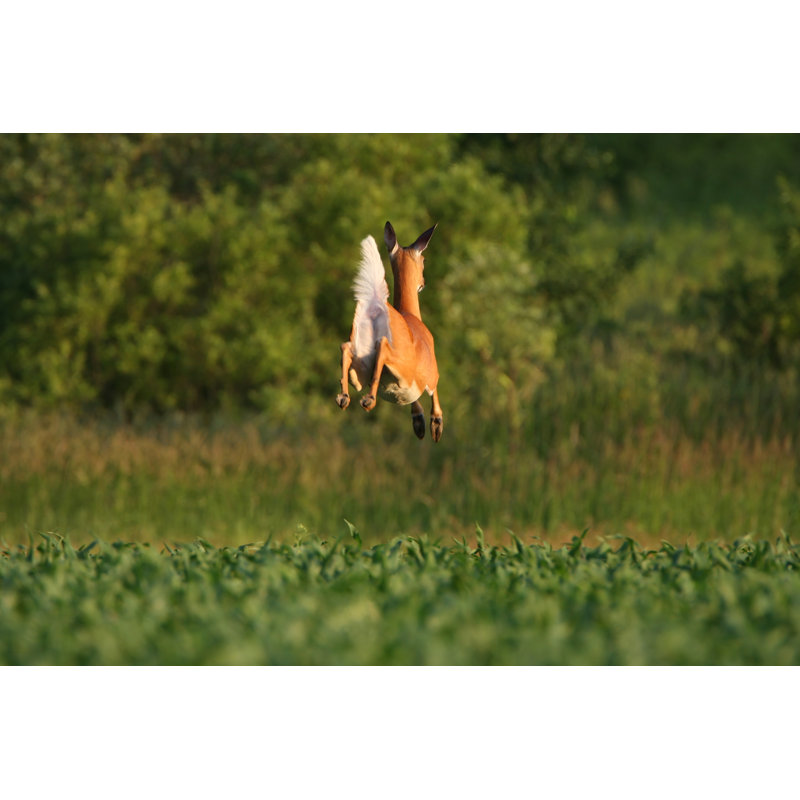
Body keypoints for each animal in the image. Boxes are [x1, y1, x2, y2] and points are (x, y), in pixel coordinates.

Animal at [336, 221, 443, 442]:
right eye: (424, 259)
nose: (423, 282)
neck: (412, 315)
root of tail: (376, 306)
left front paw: (419, 422)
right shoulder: (429, 374)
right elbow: (434, 390)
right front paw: (434, 424)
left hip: (360, 365)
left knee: (346, 348)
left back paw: (344, 397)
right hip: (401, 365)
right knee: (383, 347)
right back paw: (368, 400)